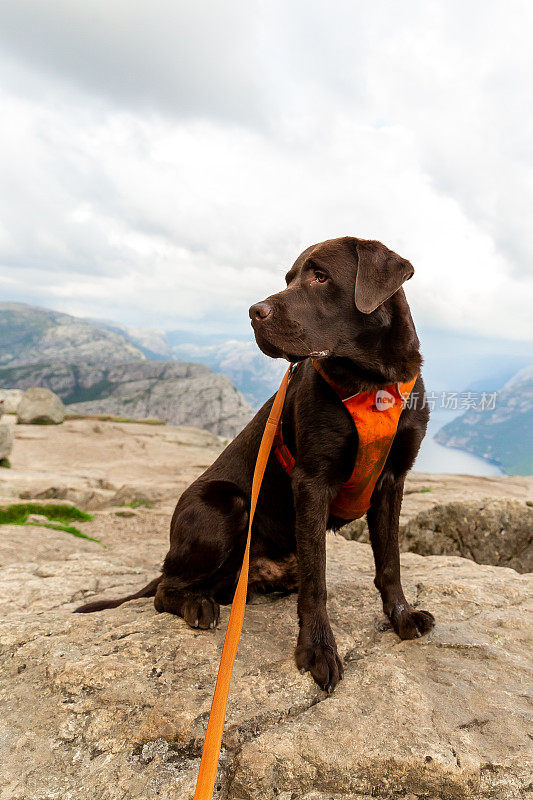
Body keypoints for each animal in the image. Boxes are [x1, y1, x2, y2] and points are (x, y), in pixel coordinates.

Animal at [75, 234, 432, 692]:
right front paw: (317, 650)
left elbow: (390, 560)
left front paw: (402, 617)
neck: (373, 381)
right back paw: (197, 606)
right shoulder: (311, 482)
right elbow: (317, 581)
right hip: (228, 505)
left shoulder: (392, 480)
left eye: (320, 277)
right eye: (289, 278)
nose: (253, 312)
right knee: (165, 589)